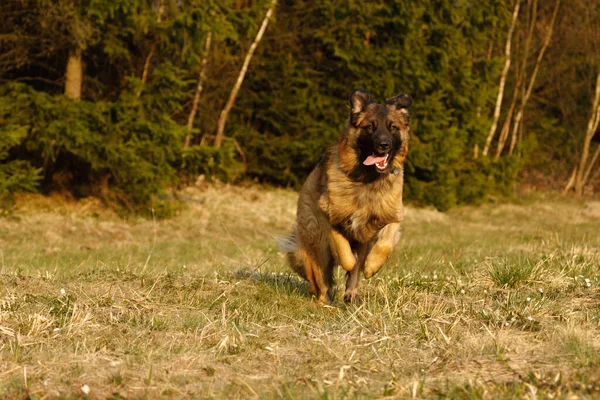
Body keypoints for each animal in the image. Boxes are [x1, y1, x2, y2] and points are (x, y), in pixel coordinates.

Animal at [282, 89, 412, 302]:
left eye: (393, 127)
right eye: (370, 127)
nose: (383, 145)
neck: (367, 179)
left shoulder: (391, 215)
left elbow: (384, 244)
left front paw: (371, 266)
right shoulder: (331, 217)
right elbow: (344, 253)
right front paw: (350, 261)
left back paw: (351, 294)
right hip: (315, 241)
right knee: (320, 279)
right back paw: (324, 301)